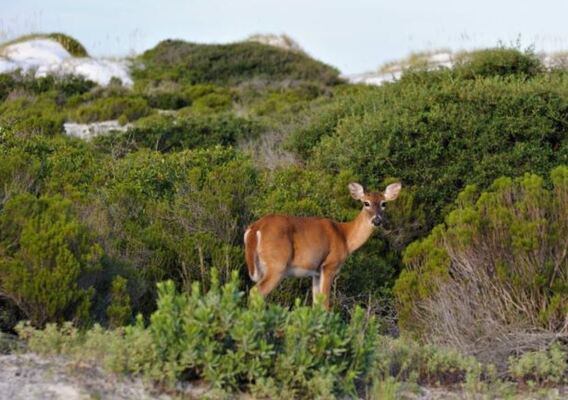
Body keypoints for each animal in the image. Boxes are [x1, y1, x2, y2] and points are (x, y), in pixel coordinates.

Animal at [243, 181, 400, 310]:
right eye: (366, 203)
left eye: (384, 203)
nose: (377, 220)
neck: (344, 237)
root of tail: (256, 228)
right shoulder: (329, 265)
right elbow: (325, 305)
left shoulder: (316, 272)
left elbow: (315, 304)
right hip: (277, 265)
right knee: (256, 292)